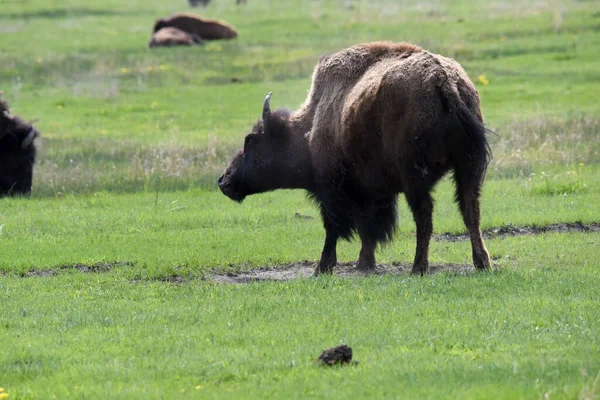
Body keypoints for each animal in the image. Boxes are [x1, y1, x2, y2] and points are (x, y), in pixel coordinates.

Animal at [218, 42, 490, 276]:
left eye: (251, 140)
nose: (224, 181)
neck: (312, 123)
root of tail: (443, 81)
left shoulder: (333, 189)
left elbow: (335, 227)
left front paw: (322, 268)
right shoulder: (374, 190)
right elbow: (369, 228)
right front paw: (364, 263)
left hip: (416, 177)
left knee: (425, 215)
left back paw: (418, 269)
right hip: (468, 167)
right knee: (470, 210)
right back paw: (482, 263)